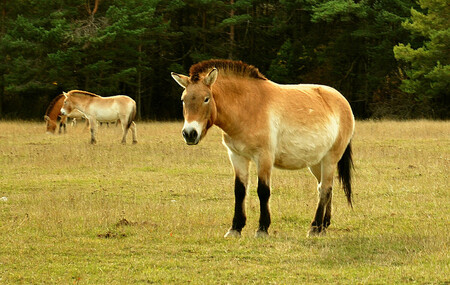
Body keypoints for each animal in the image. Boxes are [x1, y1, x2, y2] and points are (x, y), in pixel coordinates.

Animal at [172, 58, 356, 236]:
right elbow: (240, 190)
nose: (190, 134)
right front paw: (235, 228)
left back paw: (314, 227)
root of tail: (343, 102)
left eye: (206, 98)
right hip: (316, 162)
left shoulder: (264, 157)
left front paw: (262, 229)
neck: (247, 108)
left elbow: (263, 191)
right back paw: (323, 227)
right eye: (183, 100)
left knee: (325, 189)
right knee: (325, 188)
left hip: (330, 159)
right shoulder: (237, 156)